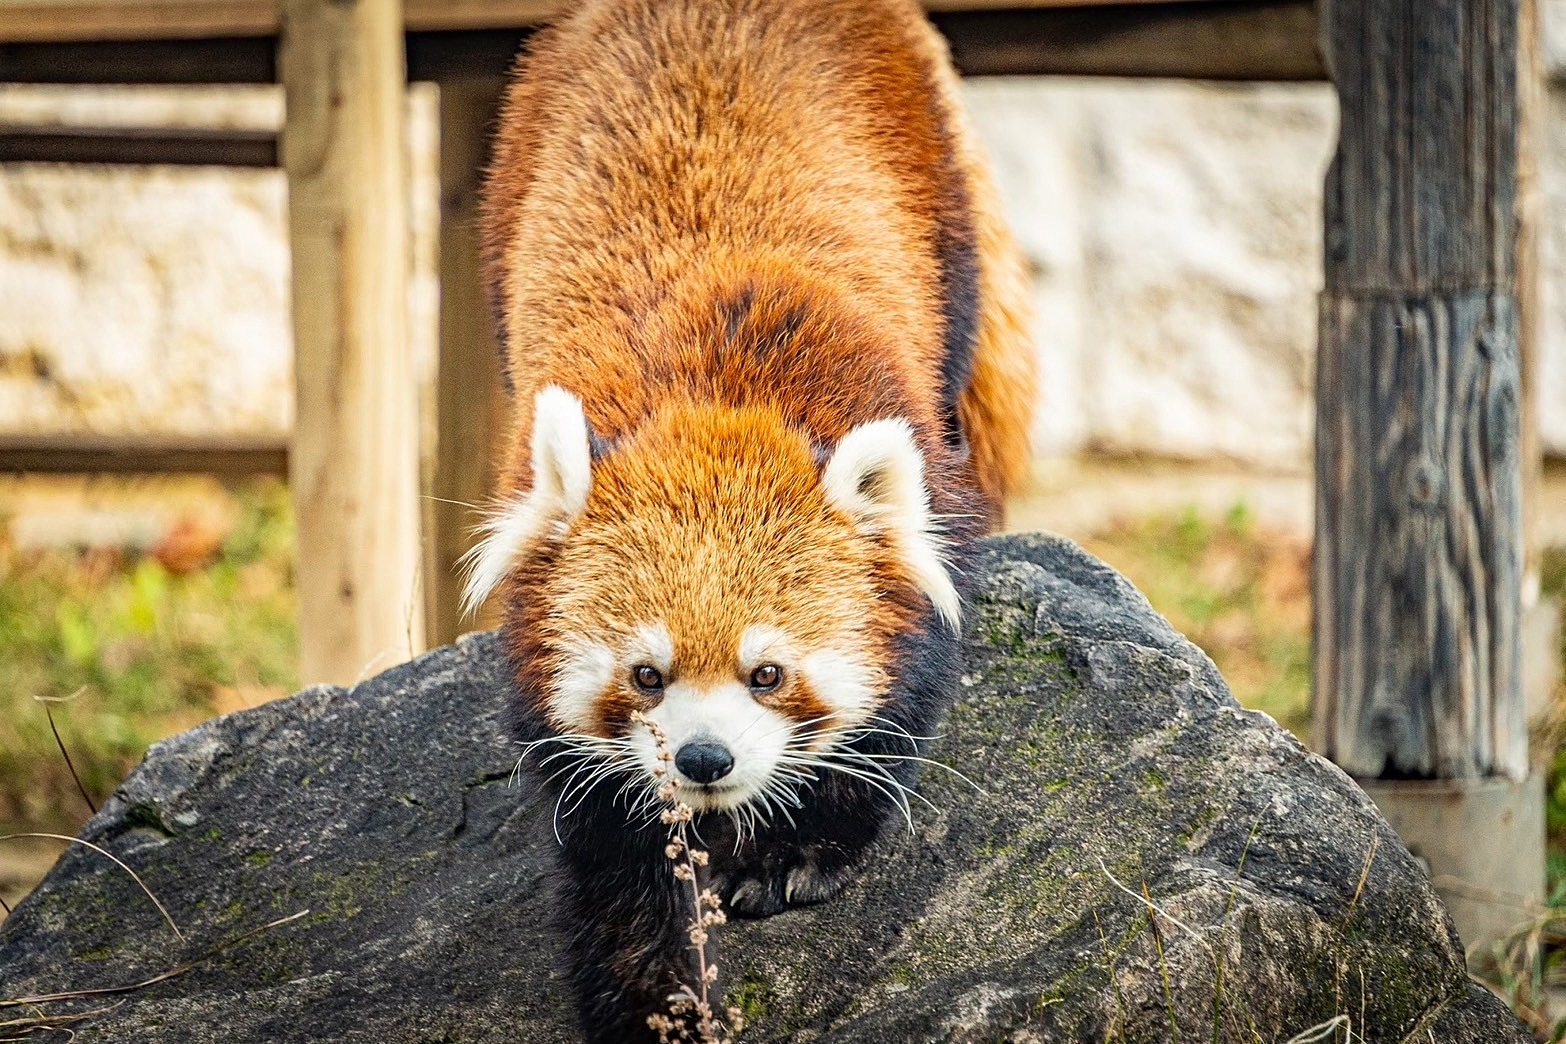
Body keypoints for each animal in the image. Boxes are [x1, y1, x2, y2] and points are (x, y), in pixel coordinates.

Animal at [476, 0, 1039, 1039]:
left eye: (767, 672)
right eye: (646, 676)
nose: (706, 758)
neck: (716, 407)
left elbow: (897, 703)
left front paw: (793, 853)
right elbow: (616, 842)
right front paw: (652, 997)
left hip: (939, 186)